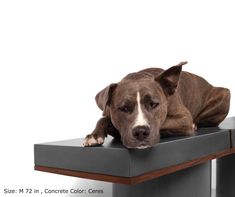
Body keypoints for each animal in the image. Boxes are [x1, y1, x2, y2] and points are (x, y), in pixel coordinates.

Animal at [82, 62, 229, 149]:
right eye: (124, 108)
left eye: (153, 104)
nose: (140, 132)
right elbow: (102, 119)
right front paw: (93, 136)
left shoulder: (184, 118)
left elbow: (162, 123)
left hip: (225, 94)